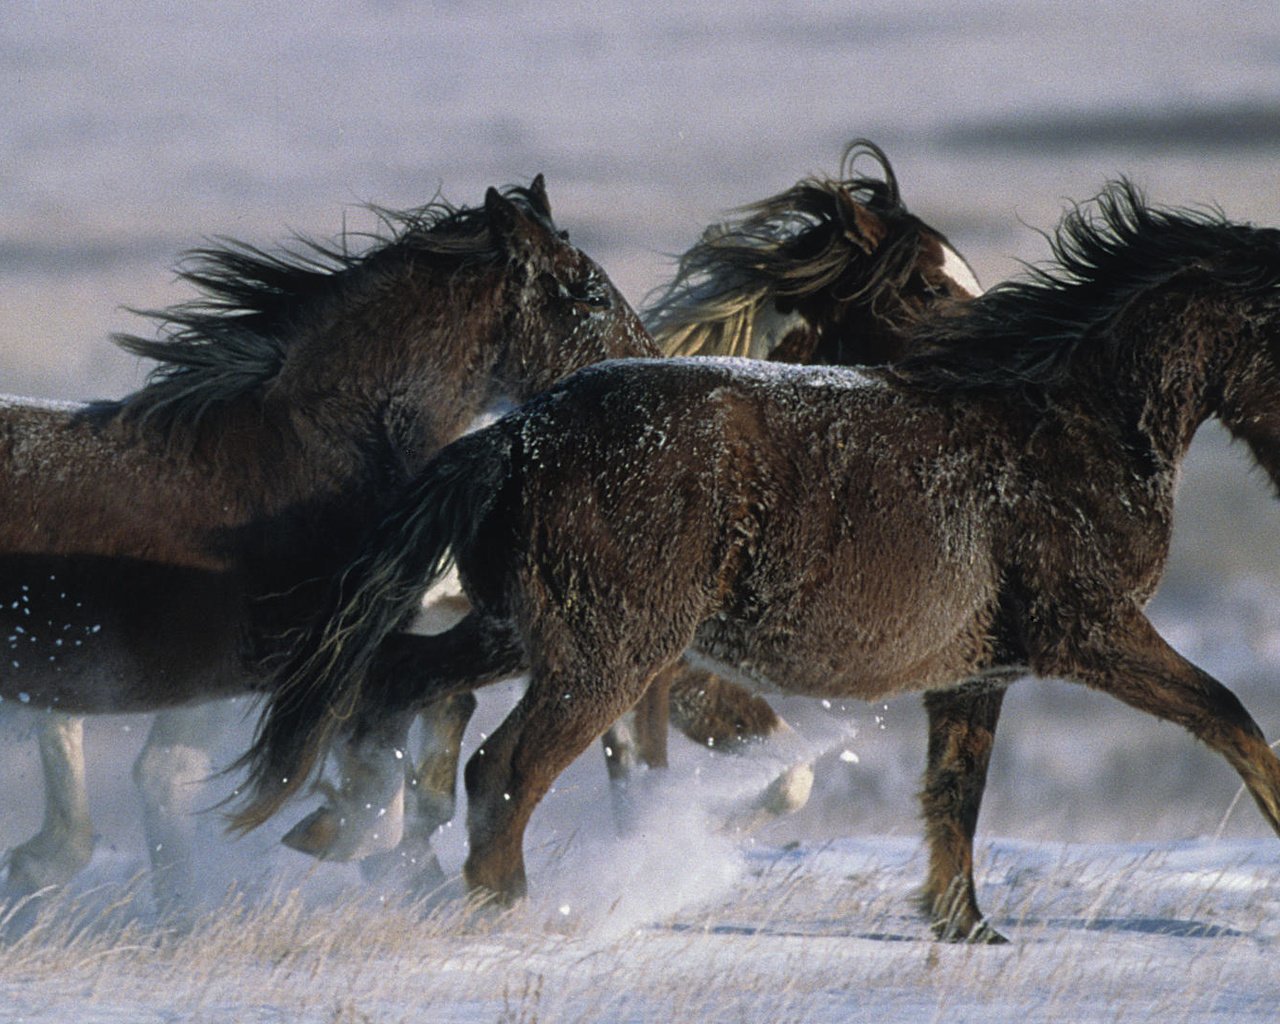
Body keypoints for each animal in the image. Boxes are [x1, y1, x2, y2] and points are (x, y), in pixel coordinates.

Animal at [235, 180, 1280, 942]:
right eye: (925, 285)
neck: (1073, 427)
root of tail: (517, 434)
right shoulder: (1090, 631)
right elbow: (1229, 715)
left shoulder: (977, 671)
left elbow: (956, 794)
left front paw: (966, 929)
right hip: (604, 658)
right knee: (501, 769)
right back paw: (507, 911)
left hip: (514, 632)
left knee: (399, 685)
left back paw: (348, 835)